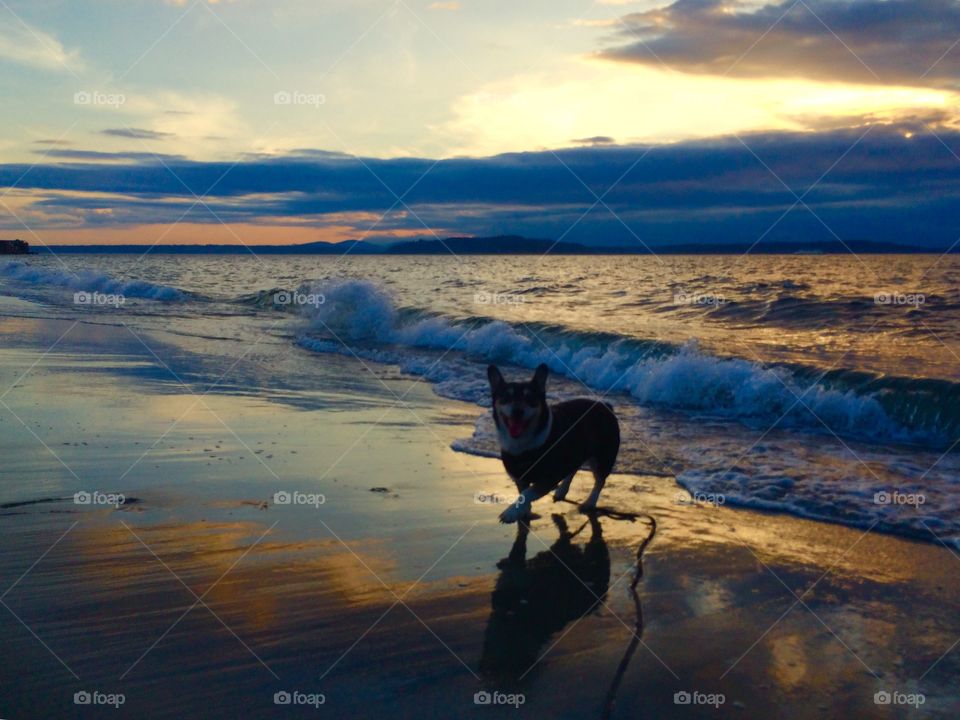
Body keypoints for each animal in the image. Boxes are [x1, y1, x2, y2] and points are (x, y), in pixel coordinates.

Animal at [488, 366, 624, 524]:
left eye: (530, 399)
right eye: (506, 398)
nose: (517, 411)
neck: (523, 442)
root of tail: (607, 407)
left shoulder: (549, 478)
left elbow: (528, 493)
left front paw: (511, 512)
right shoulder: (520, 478)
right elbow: (523, 493)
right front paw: (524, 511)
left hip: (603, 456)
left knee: (600, 480)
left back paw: (589, 502)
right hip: (576, 451)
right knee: (573, 469)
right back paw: (561, 491)